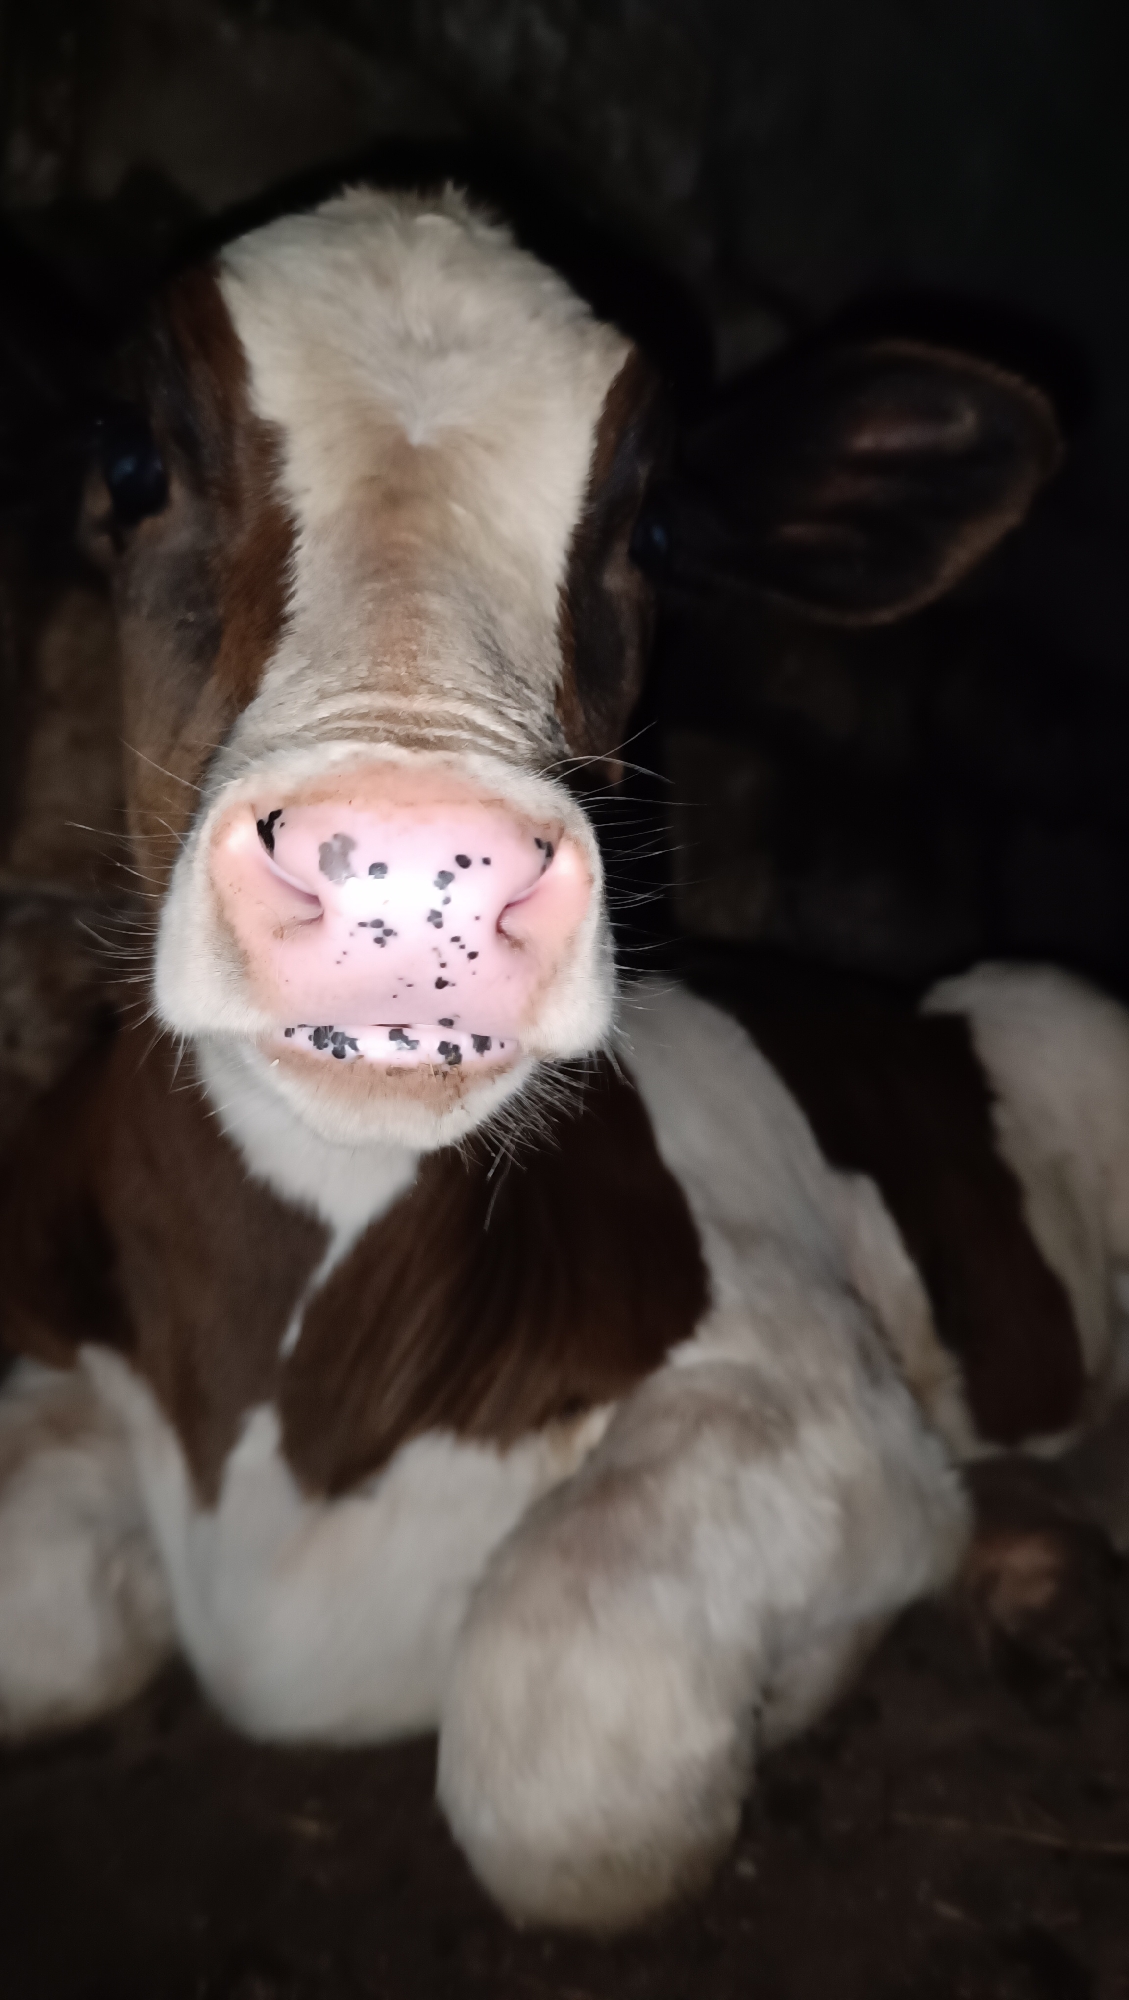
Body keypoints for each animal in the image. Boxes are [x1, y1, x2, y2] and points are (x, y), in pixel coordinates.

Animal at [1, 184, 1124, 1935]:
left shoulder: (807, 1396)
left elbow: (563, 1761)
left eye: (650, 534)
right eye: (129, 461)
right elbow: (39, 1621)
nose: (410, 870)